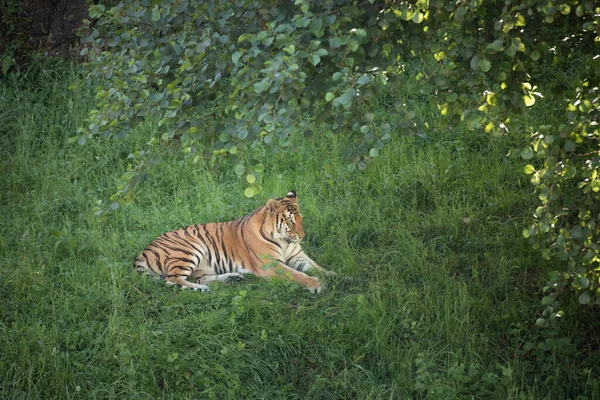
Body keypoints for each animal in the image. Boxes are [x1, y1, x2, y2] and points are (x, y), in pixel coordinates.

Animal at [132, 191, 332, 294]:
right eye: (290, 221)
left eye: (301, 219)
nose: (302, 236)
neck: (284, 241)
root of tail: (143, 252)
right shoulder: (270, 264)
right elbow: (297, 275)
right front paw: (316, 284)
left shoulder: (297, 255)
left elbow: (315, 266)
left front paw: (331, 274)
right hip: (190, 249)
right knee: (172, 279)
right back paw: (202, 289)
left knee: (198, 276)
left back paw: (231, 277)